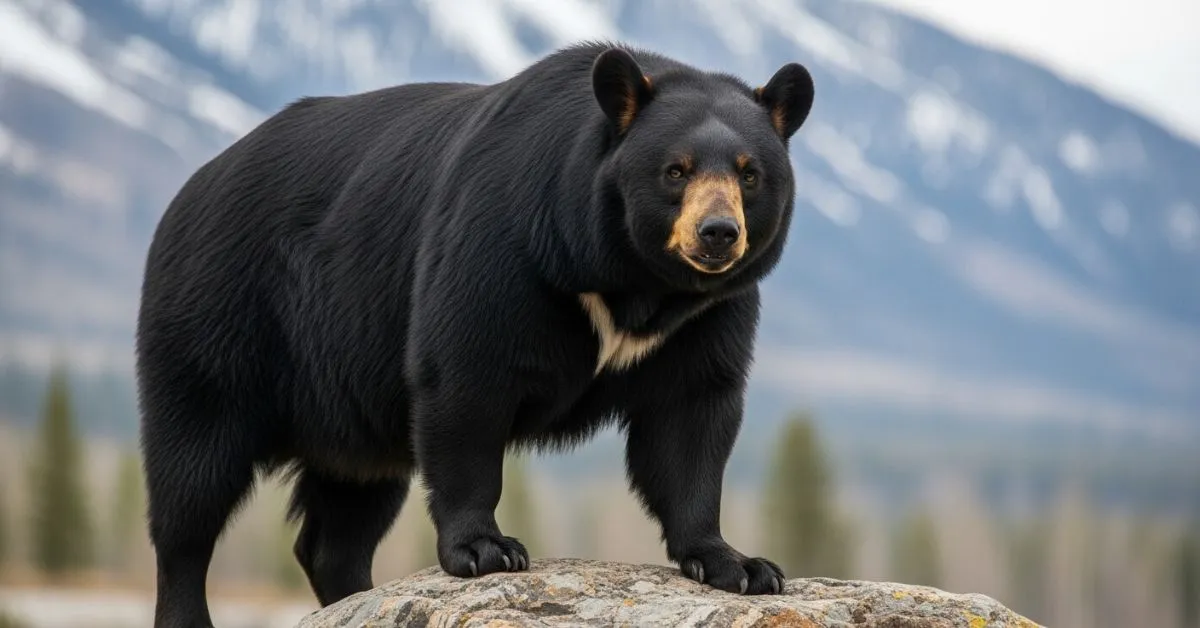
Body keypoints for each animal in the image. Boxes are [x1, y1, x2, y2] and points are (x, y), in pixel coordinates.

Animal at [135, 41, 814, 627]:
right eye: (676, 170)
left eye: (750, 175)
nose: (718, 233)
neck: (629, 277)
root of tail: (194, 185)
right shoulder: (503, 244)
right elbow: (466, 382)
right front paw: (487, 550)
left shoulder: (705, 316)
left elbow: (693, 417)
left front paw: (740, 565)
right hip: (217, 319)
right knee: (191, 485)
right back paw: (190, 607)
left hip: (350, 410)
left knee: (343, 518)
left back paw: (356, 594)